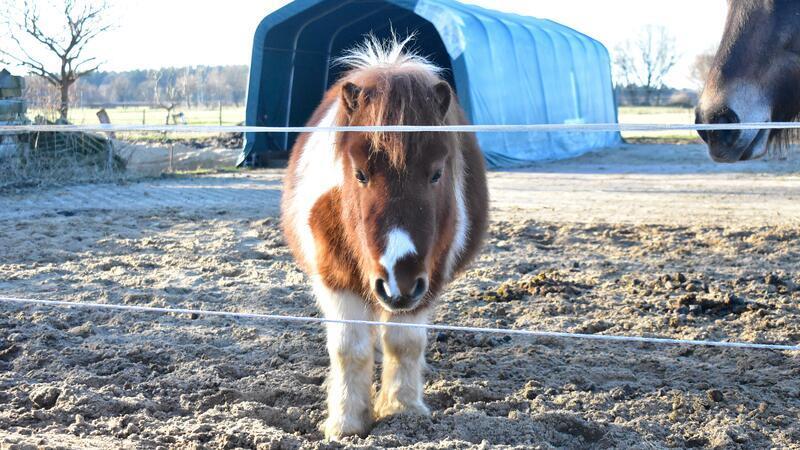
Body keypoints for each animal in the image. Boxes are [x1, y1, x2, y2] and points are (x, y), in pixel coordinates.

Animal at [280, 36, 488, 440]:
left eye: (436, 173)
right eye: (360, 173)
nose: (398, 280)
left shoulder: (427, 281)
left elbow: (404, 344)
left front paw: (401, 410)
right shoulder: (335, 278)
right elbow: (350, 349)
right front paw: (346, 421)